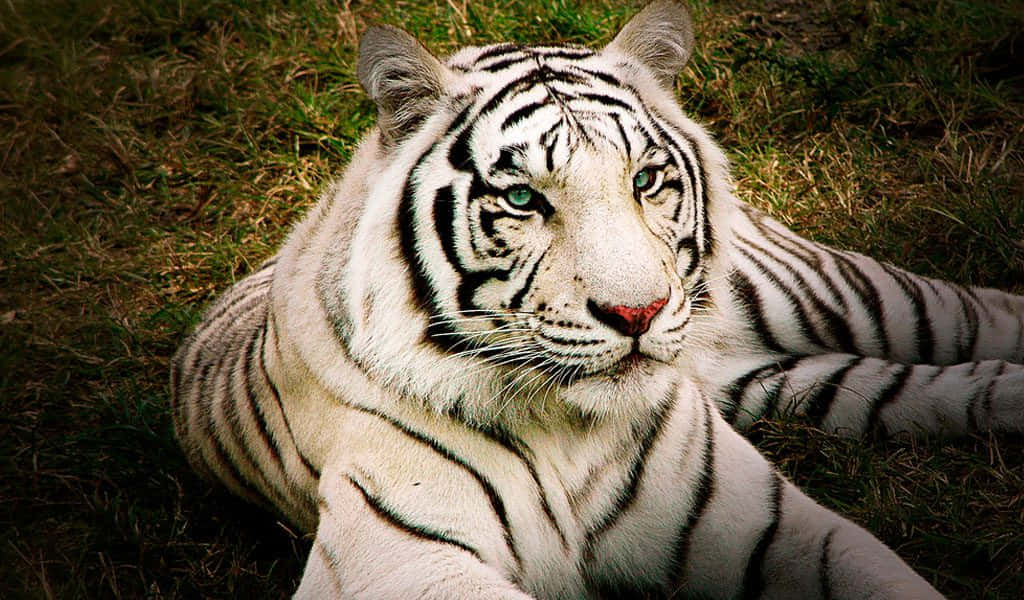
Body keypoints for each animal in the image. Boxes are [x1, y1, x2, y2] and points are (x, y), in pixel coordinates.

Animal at [171, 1, 1023, 598]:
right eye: (522, 198)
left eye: (646, 179)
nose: (637, 314)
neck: (566, 430)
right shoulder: (397, 560)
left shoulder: (768, 523)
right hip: (787, 385)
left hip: (828, 290)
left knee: (976, 313)